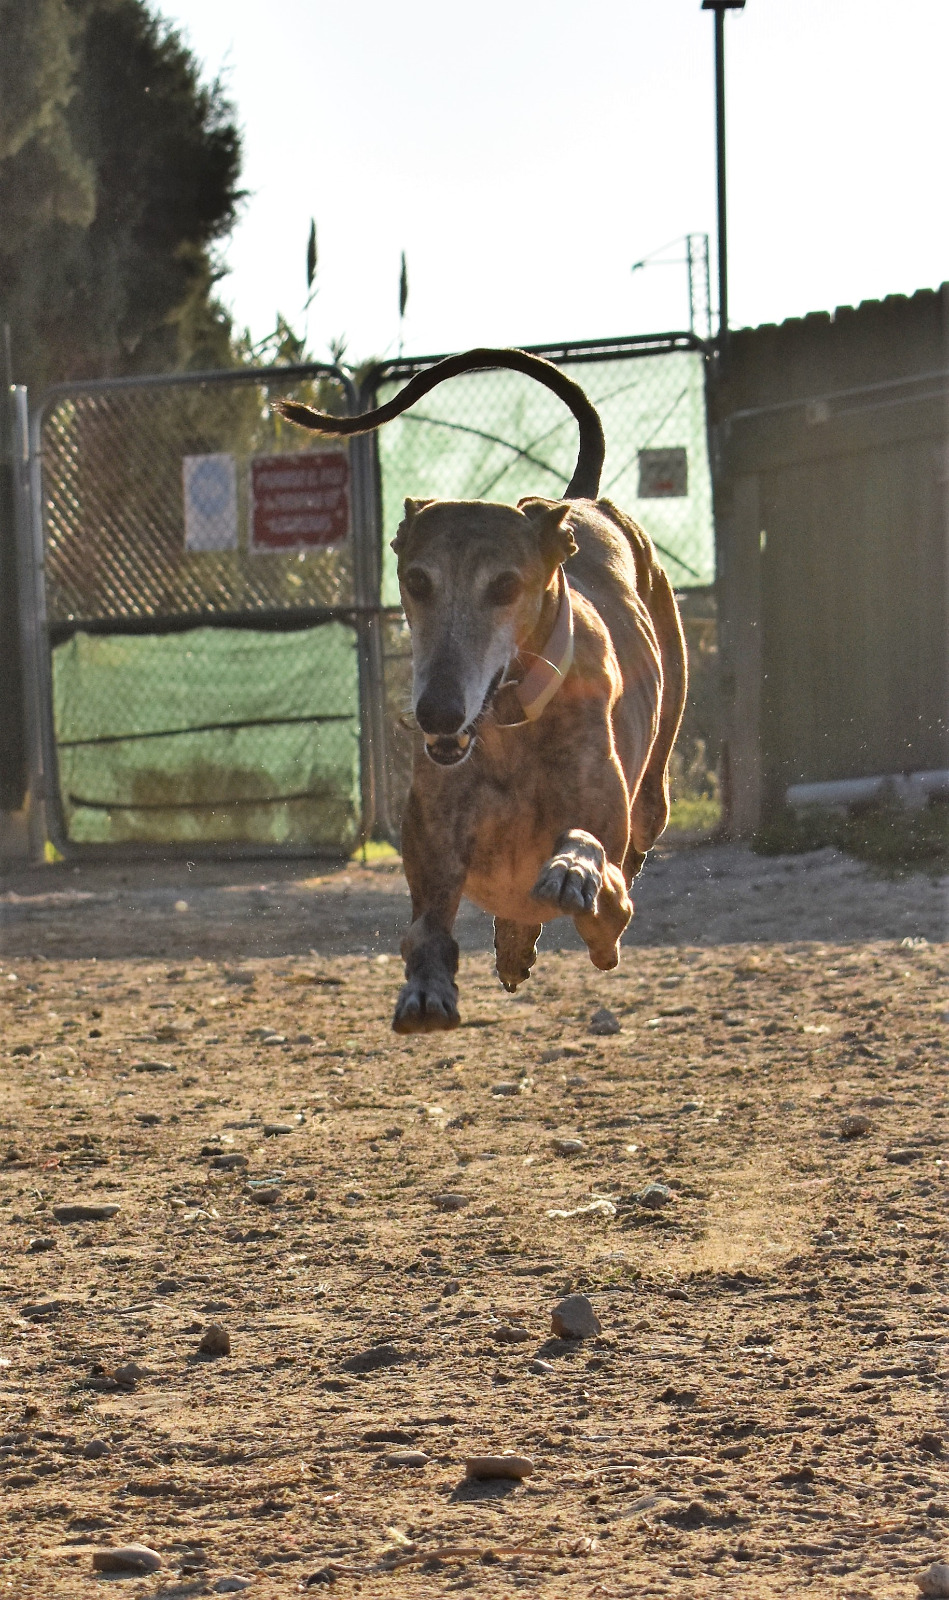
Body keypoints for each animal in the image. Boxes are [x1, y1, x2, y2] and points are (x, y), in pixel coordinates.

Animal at [276, 344, 684, 1030]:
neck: (512, 727)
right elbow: (426, 928)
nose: (438, 713)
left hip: (653, 793)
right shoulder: (435, 849)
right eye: (417, 580)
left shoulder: (606, 845)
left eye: (505, 586)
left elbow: (599, 879)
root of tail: (577, 504)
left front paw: (574, 870)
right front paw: (426, 987)